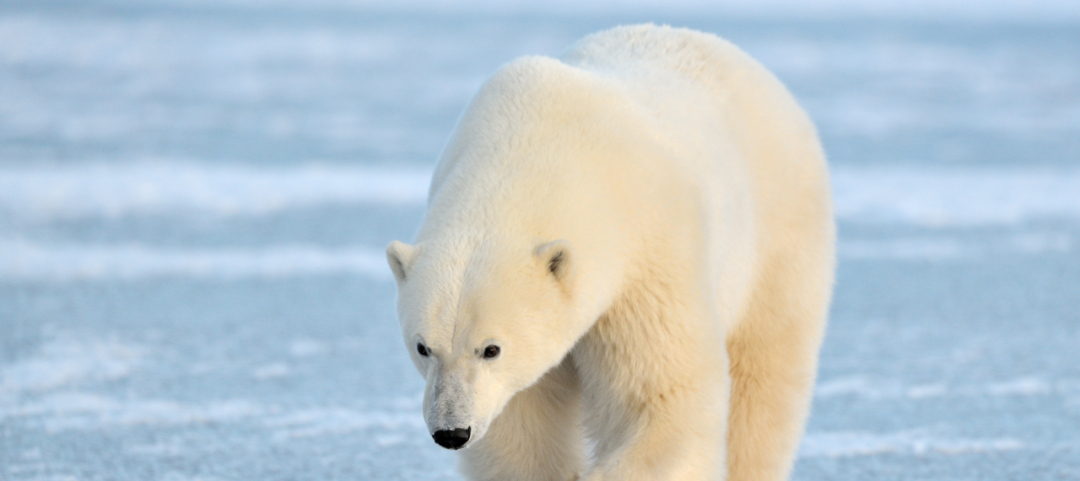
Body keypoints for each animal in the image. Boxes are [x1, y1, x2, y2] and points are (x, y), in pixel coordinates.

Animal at [385, 24, 834, 481]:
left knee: (763, 380)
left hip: (777, 232)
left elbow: (661, 397)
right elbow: (521, 428)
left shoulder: (648, 255)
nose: (452, 431)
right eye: (422, 347)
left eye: (491, 348)